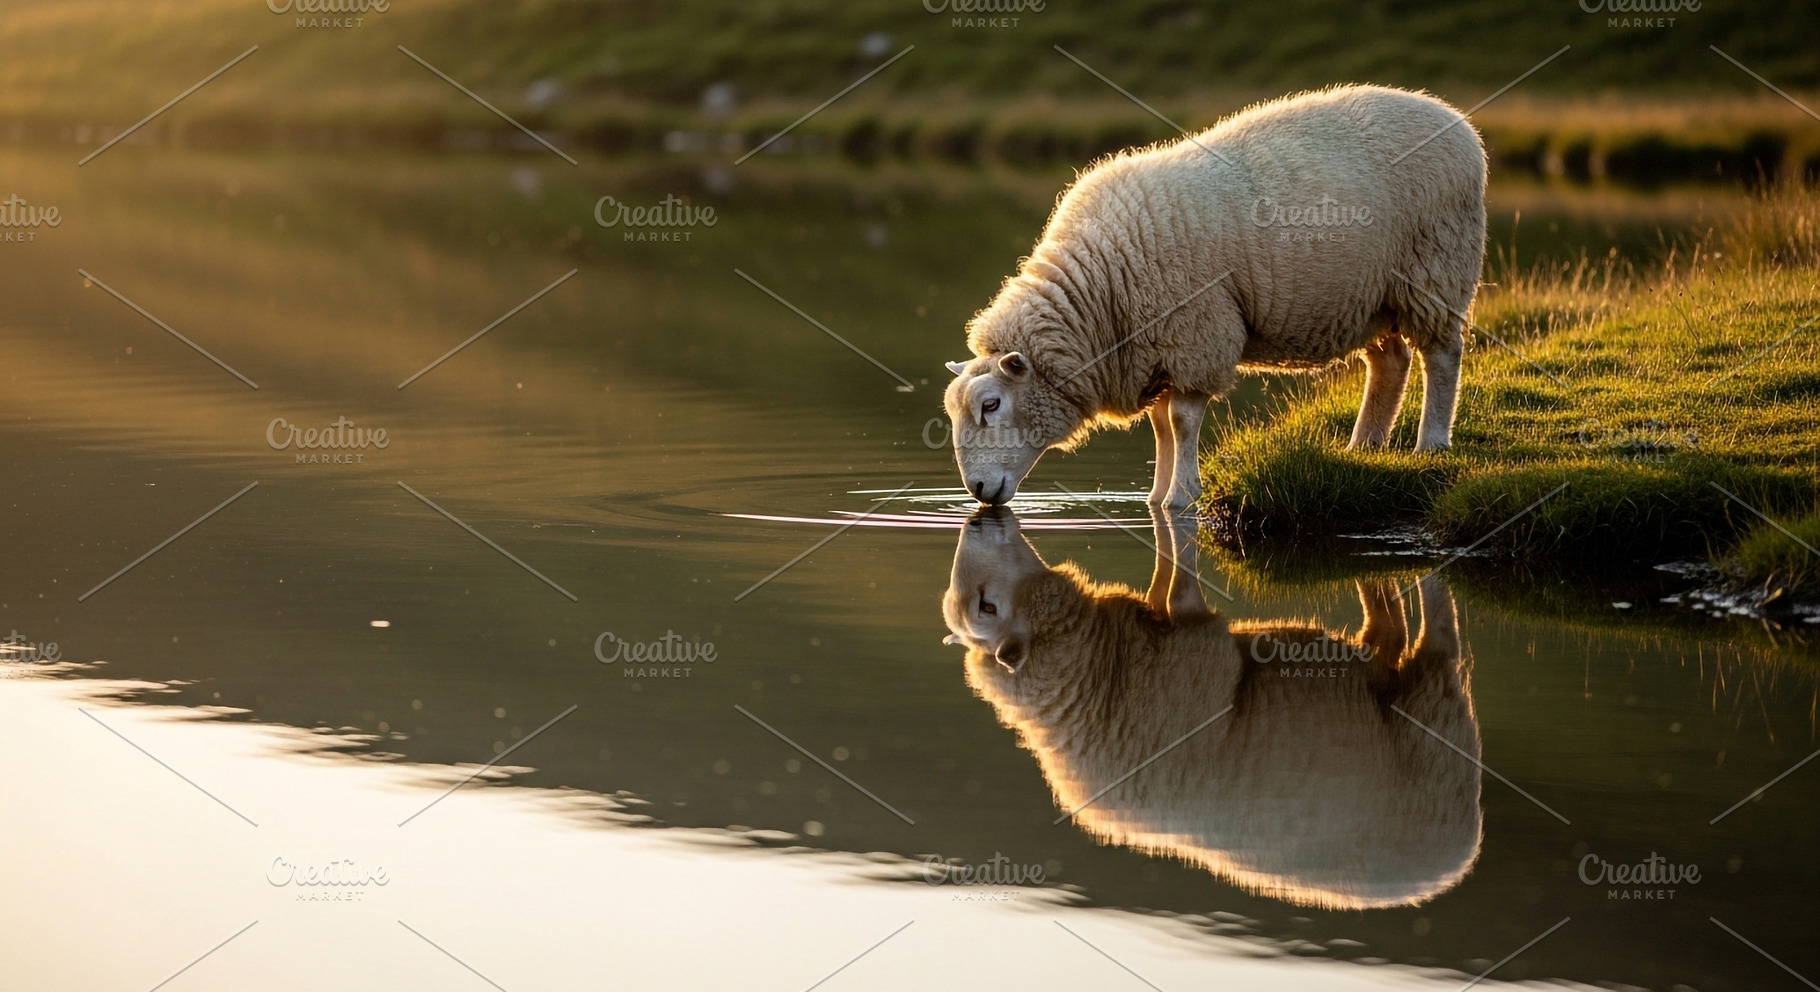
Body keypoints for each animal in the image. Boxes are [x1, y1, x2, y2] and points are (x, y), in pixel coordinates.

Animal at [941, 508, 1481, 909]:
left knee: (1441, 639)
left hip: (1432, 709)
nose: (978, 521)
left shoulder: (1190, 639)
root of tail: (1462, 852)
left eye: (987, 607)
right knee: (1392, 639)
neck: (1090, 678)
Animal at [942, 84, 1487, 507]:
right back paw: (1364, 447)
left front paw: (1183, 496)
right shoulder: (1156, 350)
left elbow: (1182, 422)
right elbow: (1161, 425)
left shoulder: (1194, 334)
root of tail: (1456, 121)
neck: (1100, 293)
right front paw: (1156, 497)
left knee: (1442, 355)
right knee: (1390, 361)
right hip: (1372, 296)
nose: (977, 491)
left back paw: (1431, 445)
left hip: (1435, 268)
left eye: (991, 405)